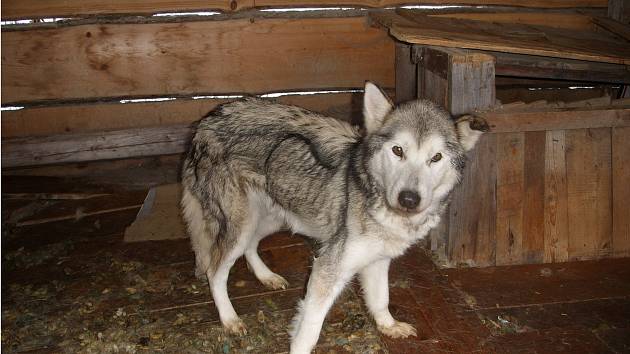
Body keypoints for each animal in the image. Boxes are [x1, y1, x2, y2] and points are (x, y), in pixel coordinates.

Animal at [183, 81, 488, 352]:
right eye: (398, 150)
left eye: (436, 158)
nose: (409, 199)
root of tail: (206, 121)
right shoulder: (327, 269)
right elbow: (308, 331)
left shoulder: (378, 260)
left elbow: (381, 299)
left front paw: (389, 326)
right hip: (242, 224)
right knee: (214, 271)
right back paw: (230, 319)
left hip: (273, 217)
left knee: (250, 247)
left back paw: (267, 277)